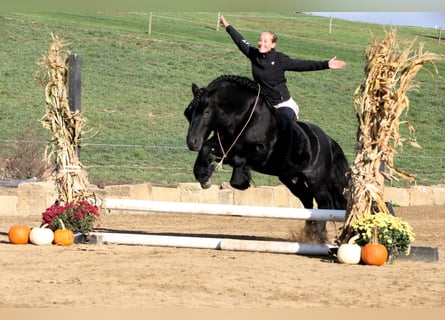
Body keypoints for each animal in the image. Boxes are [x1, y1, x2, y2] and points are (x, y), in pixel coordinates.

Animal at [183, 75, 346, 240]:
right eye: (188, 114)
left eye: (206, 112)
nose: (192, 142)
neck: (245, 117)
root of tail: (327, 140)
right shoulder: (224, 146)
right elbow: (207, 148)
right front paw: (204, 176)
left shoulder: (261, 151)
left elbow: (238, 161)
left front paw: (241, 181)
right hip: (291, 178)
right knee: (307, 199)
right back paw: (308, 233)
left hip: (316, 180)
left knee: (323, 203)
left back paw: (318, 236)